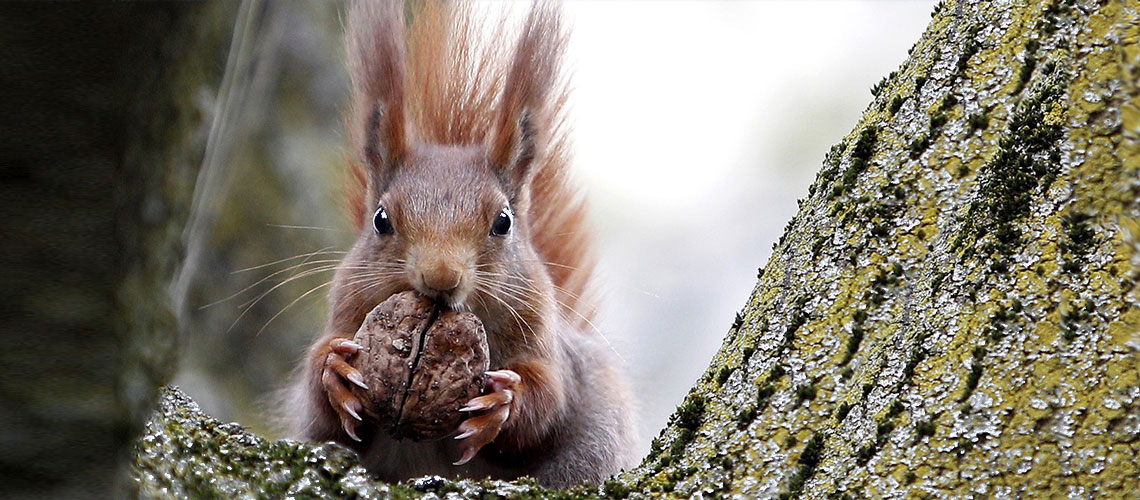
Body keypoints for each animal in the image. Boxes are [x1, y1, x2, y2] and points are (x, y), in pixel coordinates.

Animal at [288, 0, 637, 488]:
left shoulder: (546, 342)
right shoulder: (348, 309)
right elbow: (322, 412)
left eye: (503, 222)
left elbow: (548, 400)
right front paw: (333, 370)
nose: (440, 276)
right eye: (381, 220)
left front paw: (502, 403)